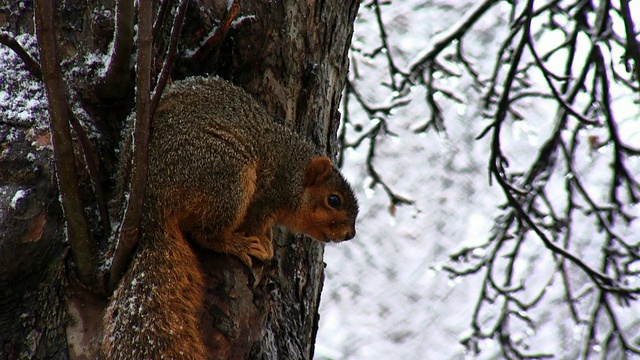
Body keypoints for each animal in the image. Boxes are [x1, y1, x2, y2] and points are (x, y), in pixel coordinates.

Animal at [102, 77, 358, 358]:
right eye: (333, 200)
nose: (350, 234)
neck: (294, 171)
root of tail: (149, 200)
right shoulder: (268, 193)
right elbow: (256, 219)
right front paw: (263, 241)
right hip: (227, 176)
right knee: (205, 234)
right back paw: (238, 244)